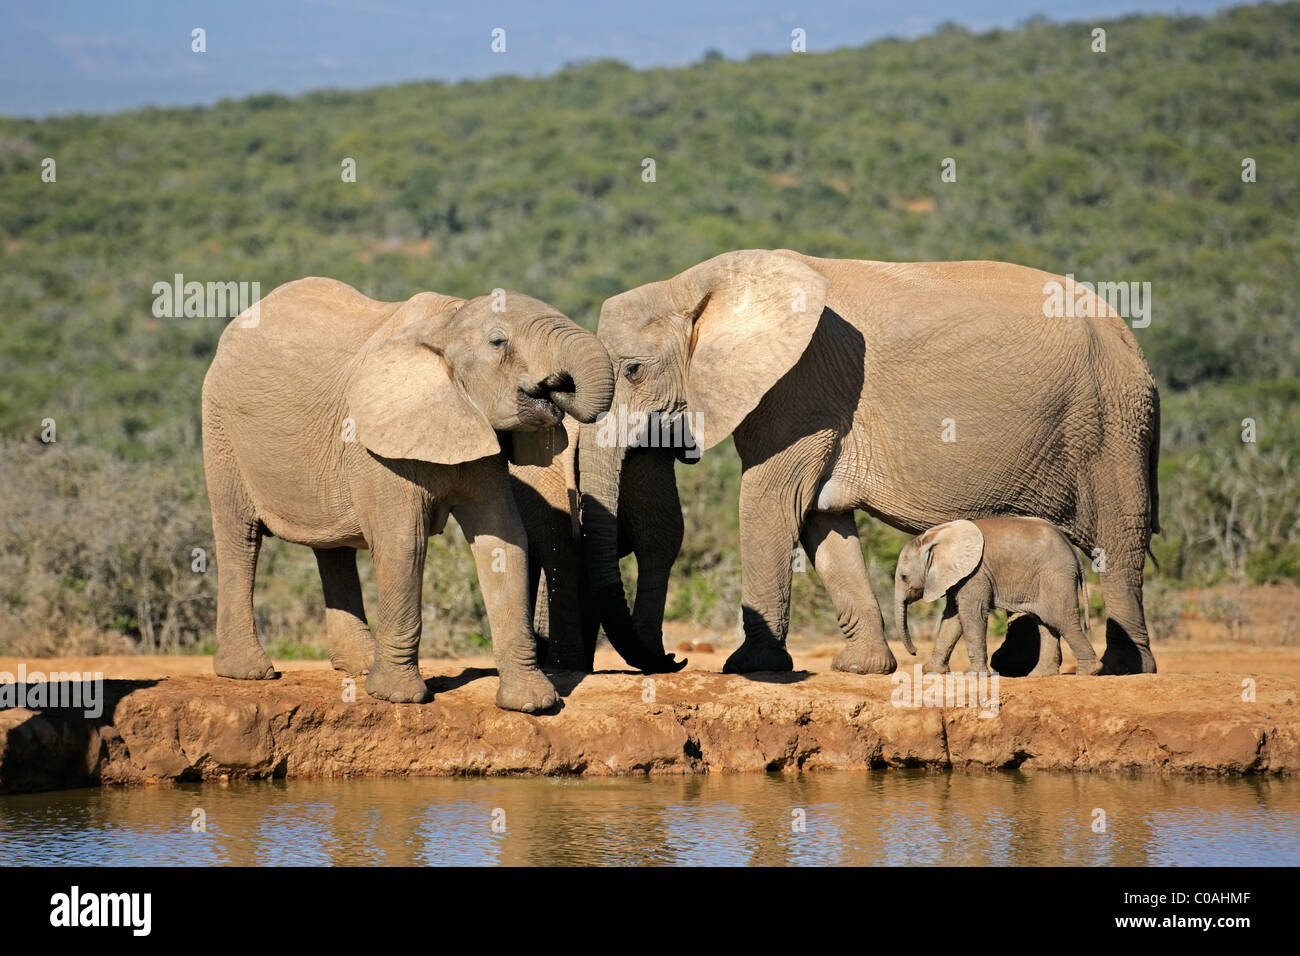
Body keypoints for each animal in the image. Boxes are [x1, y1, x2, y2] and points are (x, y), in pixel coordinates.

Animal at [198, 277, 613, 712]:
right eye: (498, 342)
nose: (557, 390)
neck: (447, 320)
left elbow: (504, 541)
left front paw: (534, 705)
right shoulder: (376, 445)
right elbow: (404, 543)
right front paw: (399, 697)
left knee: (331, 548)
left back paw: (359, 665)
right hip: (221, 427)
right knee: (240, 537)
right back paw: (247, 672)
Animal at [894, 520, 1097, 676]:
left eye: (904, 577)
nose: (915, 652)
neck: (935, 537)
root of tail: (1074, 552)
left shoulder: (975, 574)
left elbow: (972, 615)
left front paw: (974, 675)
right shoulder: (959, 576)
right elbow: (953, 618)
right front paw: (933, 672)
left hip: (1055, 577)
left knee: (1063, 620)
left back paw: (1089, 672)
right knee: (1046, 623)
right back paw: (1039, 675)